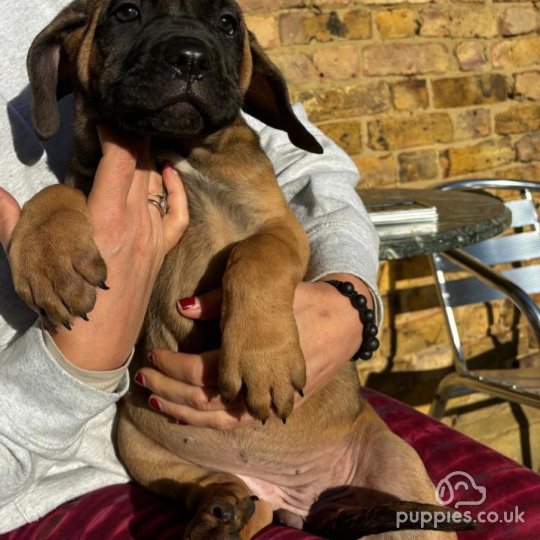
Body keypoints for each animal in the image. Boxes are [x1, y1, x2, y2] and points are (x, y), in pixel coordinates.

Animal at [10, 0, 470, 536]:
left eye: (228, 24)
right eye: (126, 12)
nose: (189, 58)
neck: (167, 146)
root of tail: (299, 500)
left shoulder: (278, 228)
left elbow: (253, 257)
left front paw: (261, 359)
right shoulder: (89, 178)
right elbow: (53, 193)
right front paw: (50, 259)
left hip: (400, 480)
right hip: (137, 442)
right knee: (224, 490)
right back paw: (222, 510)